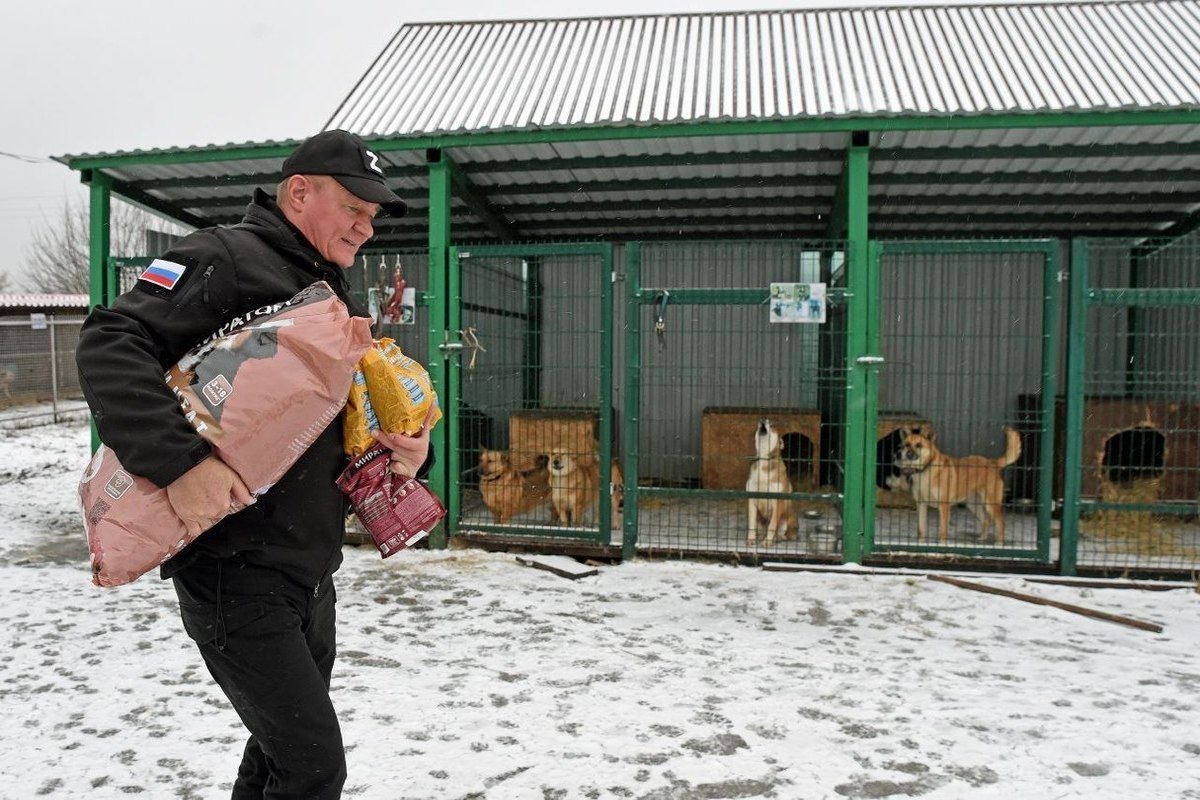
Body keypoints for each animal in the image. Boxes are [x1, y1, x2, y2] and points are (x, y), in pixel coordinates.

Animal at [892, 424, 1022, 544]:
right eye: (907, 445)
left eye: (919, 445)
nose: (908, 454)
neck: (925, 470)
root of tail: (992, 462)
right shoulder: (921, 505)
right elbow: (921, 530)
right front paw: (921, 544)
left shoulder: (944, 506)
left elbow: (942, 531)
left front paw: (941, 545)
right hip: (973, 505)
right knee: (986, 520)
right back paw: (982, 538)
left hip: (991, 504)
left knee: (1001, 522)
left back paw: (999, 543)